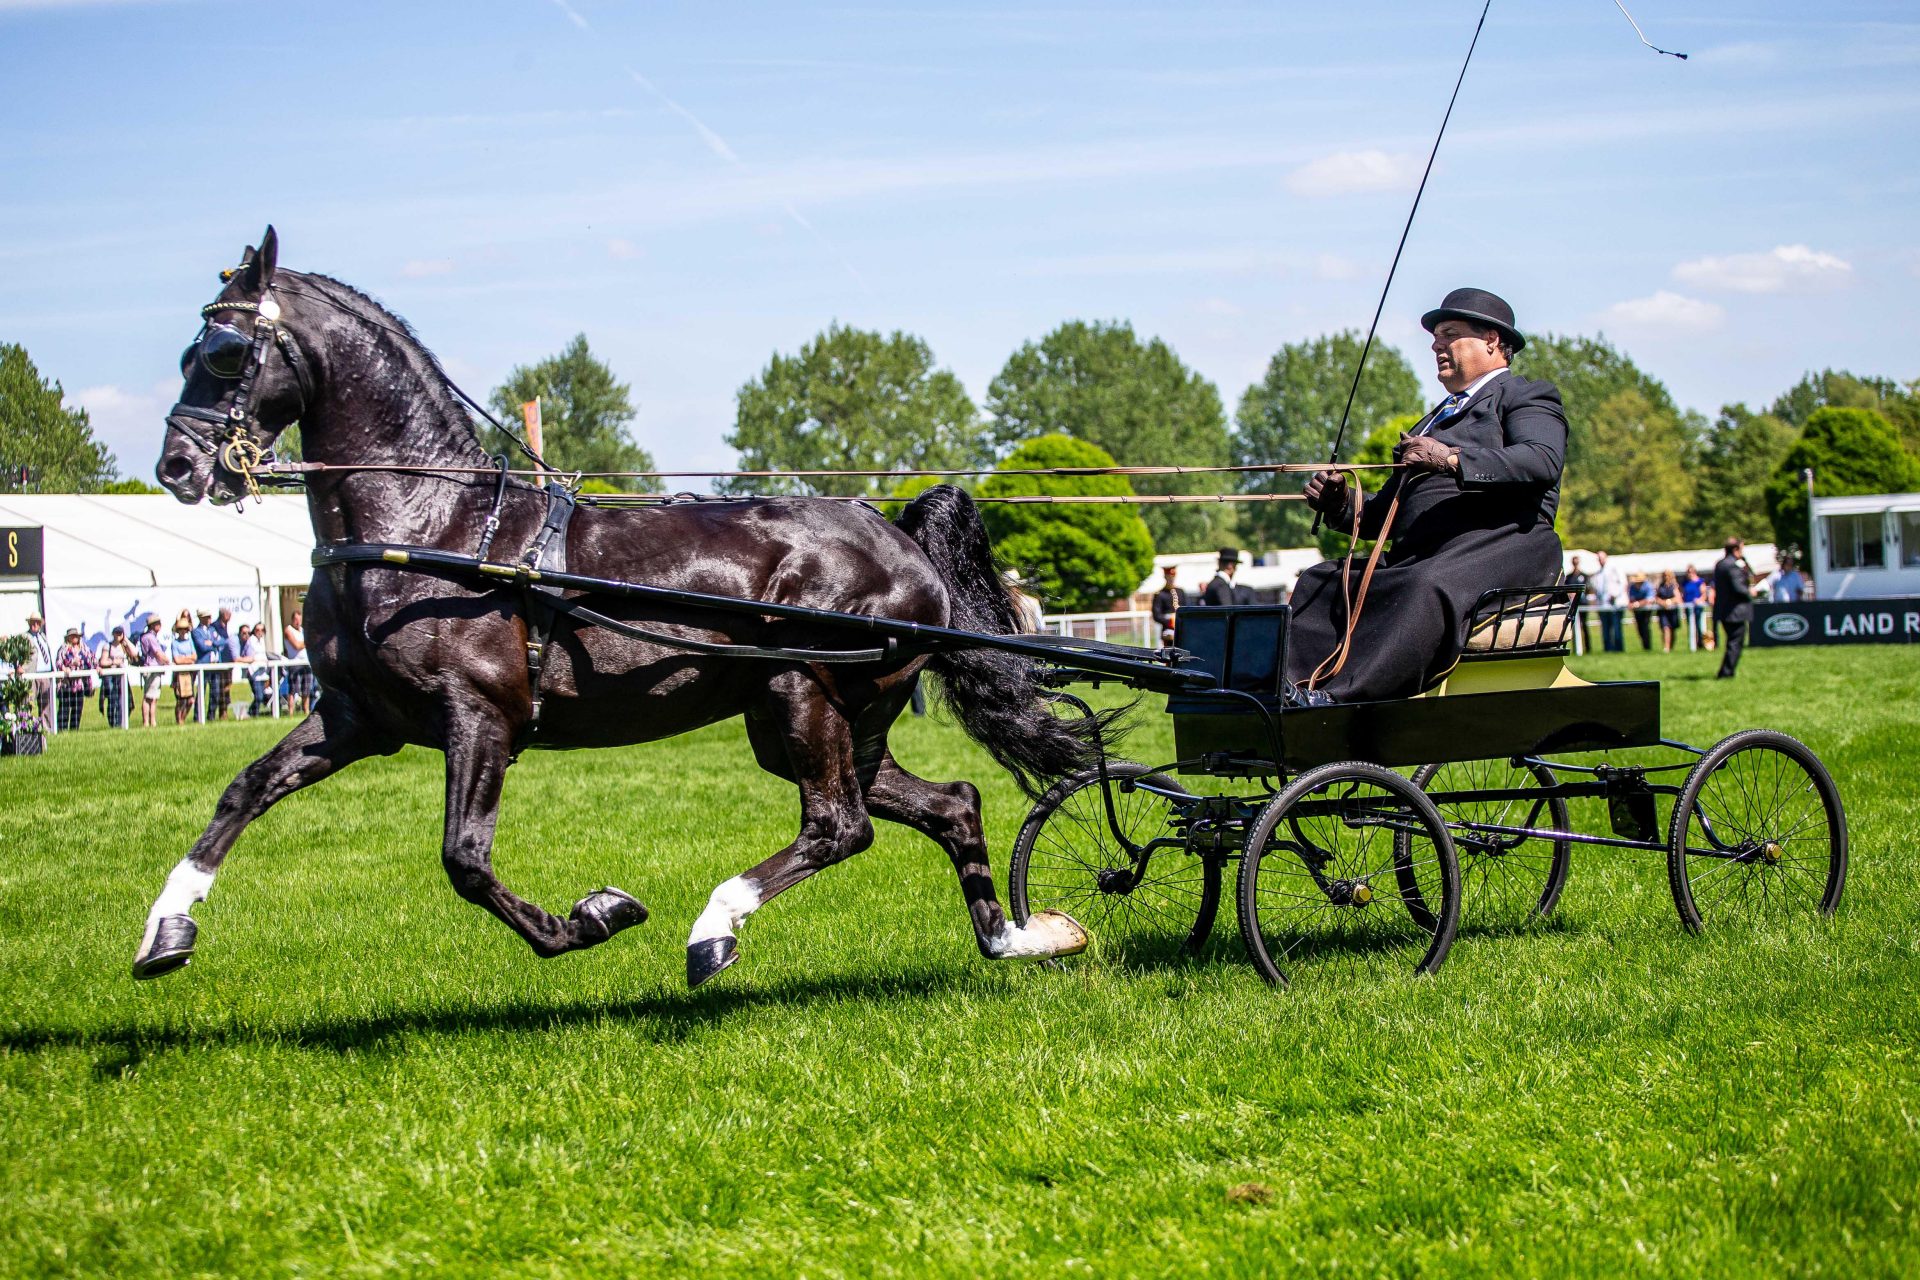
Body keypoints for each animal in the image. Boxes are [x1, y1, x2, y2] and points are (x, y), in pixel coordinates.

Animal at [137, 227, 1101, 989]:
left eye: (224, 353)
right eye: (188, 353)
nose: (179, 468)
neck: (434, 528)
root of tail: (898, 537)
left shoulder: (478, 716)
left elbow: (464, 860)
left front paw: (595, 915)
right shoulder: (354, 716)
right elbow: (242, 792)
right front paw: (165, 931)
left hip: (804, 692)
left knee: (840, 825)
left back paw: (714, 929)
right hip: (816, 718)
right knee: (950, 804)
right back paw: (1017, 939)